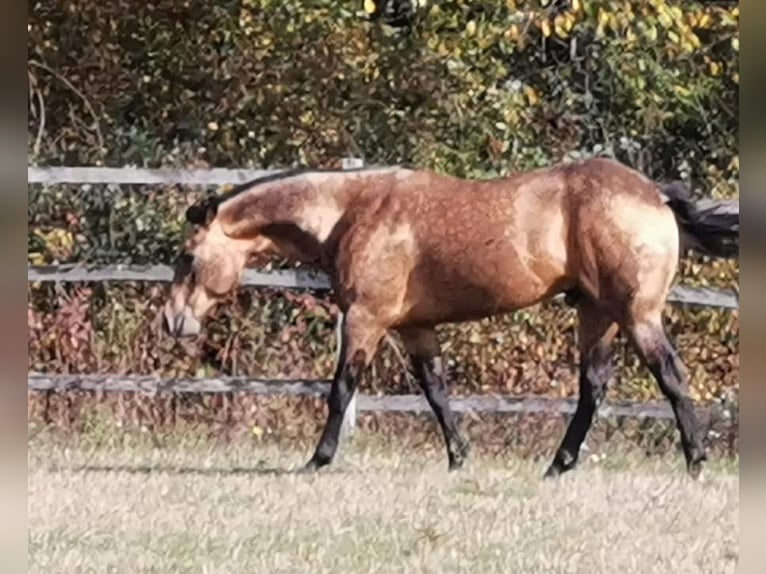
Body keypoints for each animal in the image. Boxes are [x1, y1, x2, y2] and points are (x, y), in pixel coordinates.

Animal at [160, 158, 736, 482]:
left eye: (187, 257)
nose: (171, 322)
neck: (351, 211)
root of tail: (654, 194)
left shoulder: (365, 318)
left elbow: (341, 388)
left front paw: (318, 460)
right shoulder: (416, 329)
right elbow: (436, 393)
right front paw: (460, 457)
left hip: (637, 315)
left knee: (671, 377)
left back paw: (695, 461)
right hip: (597, 315)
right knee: (593, 388)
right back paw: (558, 466)